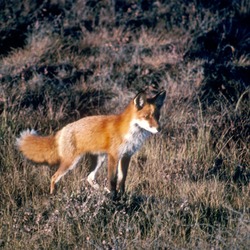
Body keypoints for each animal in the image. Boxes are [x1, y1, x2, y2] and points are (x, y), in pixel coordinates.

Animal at [17, 90, 166, 199]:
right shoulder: (114, 156)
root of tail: (61, 131)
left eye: (157, 116)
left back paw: (100, 191)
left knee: (89, 177)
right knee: (54, 177)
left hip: (99, 159)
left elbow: (122, 179)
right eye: (146, 116)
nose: (159, 129)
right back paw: (53, 196)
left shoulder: (126, 156)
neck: (130, 133)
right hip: (71, 163)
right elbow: (113, 180)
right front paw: (113, 197)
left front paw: (122, 196)